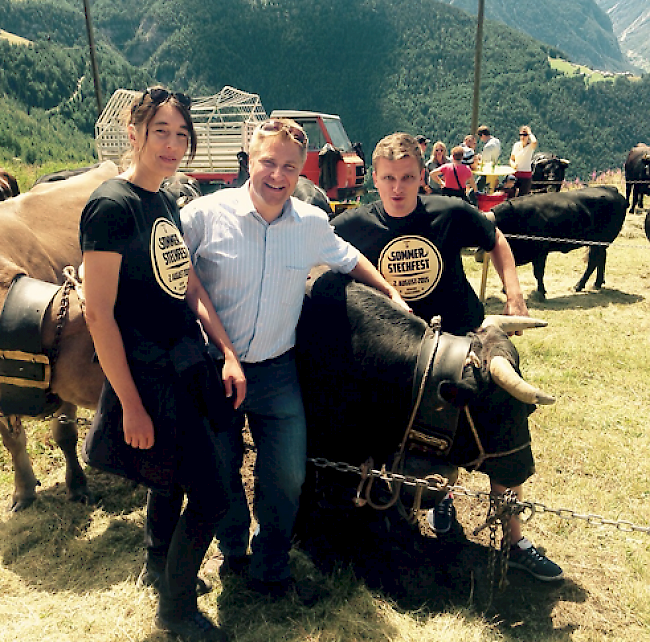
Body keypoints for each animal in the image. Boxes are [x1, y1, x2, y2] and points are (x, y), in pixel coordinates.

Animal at [492, 182, 624, 298]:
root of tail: (612, 189)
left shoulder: (540, 252)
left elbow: (538, 273)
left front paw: (541, 292)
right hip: (598, 243)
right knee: (601, 259)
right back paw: (597, 283)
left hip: (600, 242)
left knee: (593, 261)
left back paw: (579, 285)